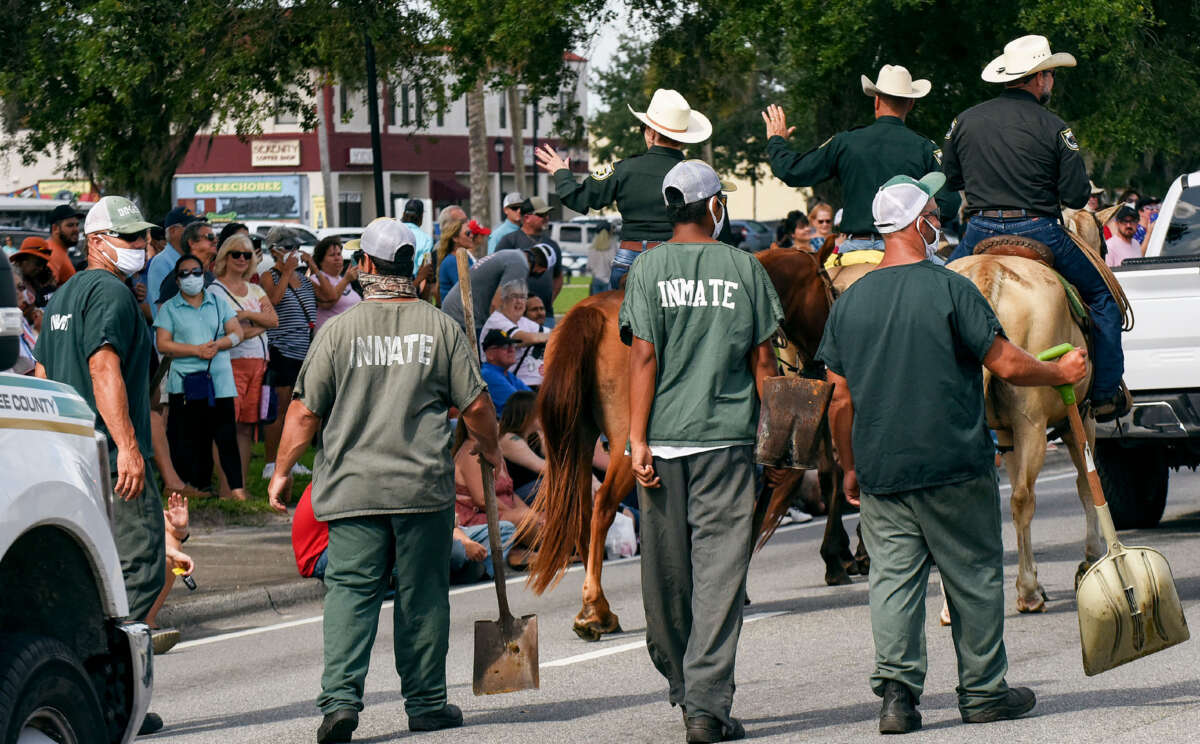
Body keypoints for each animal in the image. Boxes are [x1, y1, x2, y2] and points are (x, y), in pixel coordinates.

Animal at [525, 248, 864, 638]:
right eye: (828, 291)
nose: (826, 359)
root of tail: (588, 312)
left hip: (576, 442)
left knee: (579, 509)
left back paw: (595, 605)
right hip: (630, 449)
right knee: (603, 506)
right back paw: (596, 610)